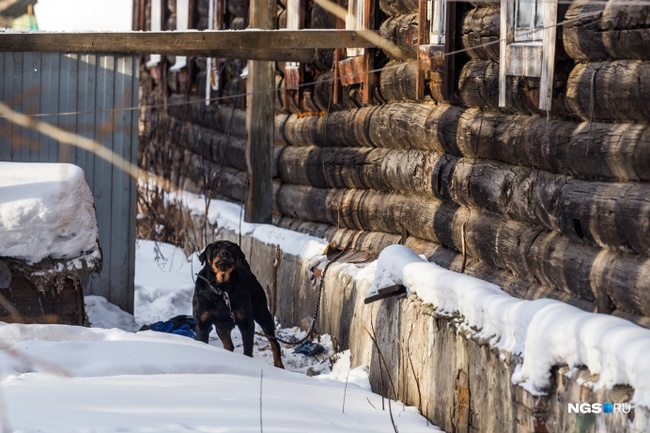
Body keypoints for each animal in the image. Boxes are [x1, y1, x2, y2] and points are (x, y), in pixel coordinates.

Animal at [192, 240, 284, 368]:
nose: (224, 252)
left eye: (232, 248)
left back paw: (279, 365)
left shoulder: (246, 323)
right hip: (222, 327)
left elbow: (248, 351)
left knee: (274, 342)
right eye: (215, 249)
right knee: (228, 345)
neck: (222, 289)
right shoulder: (202, 324)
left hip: (263, 314)